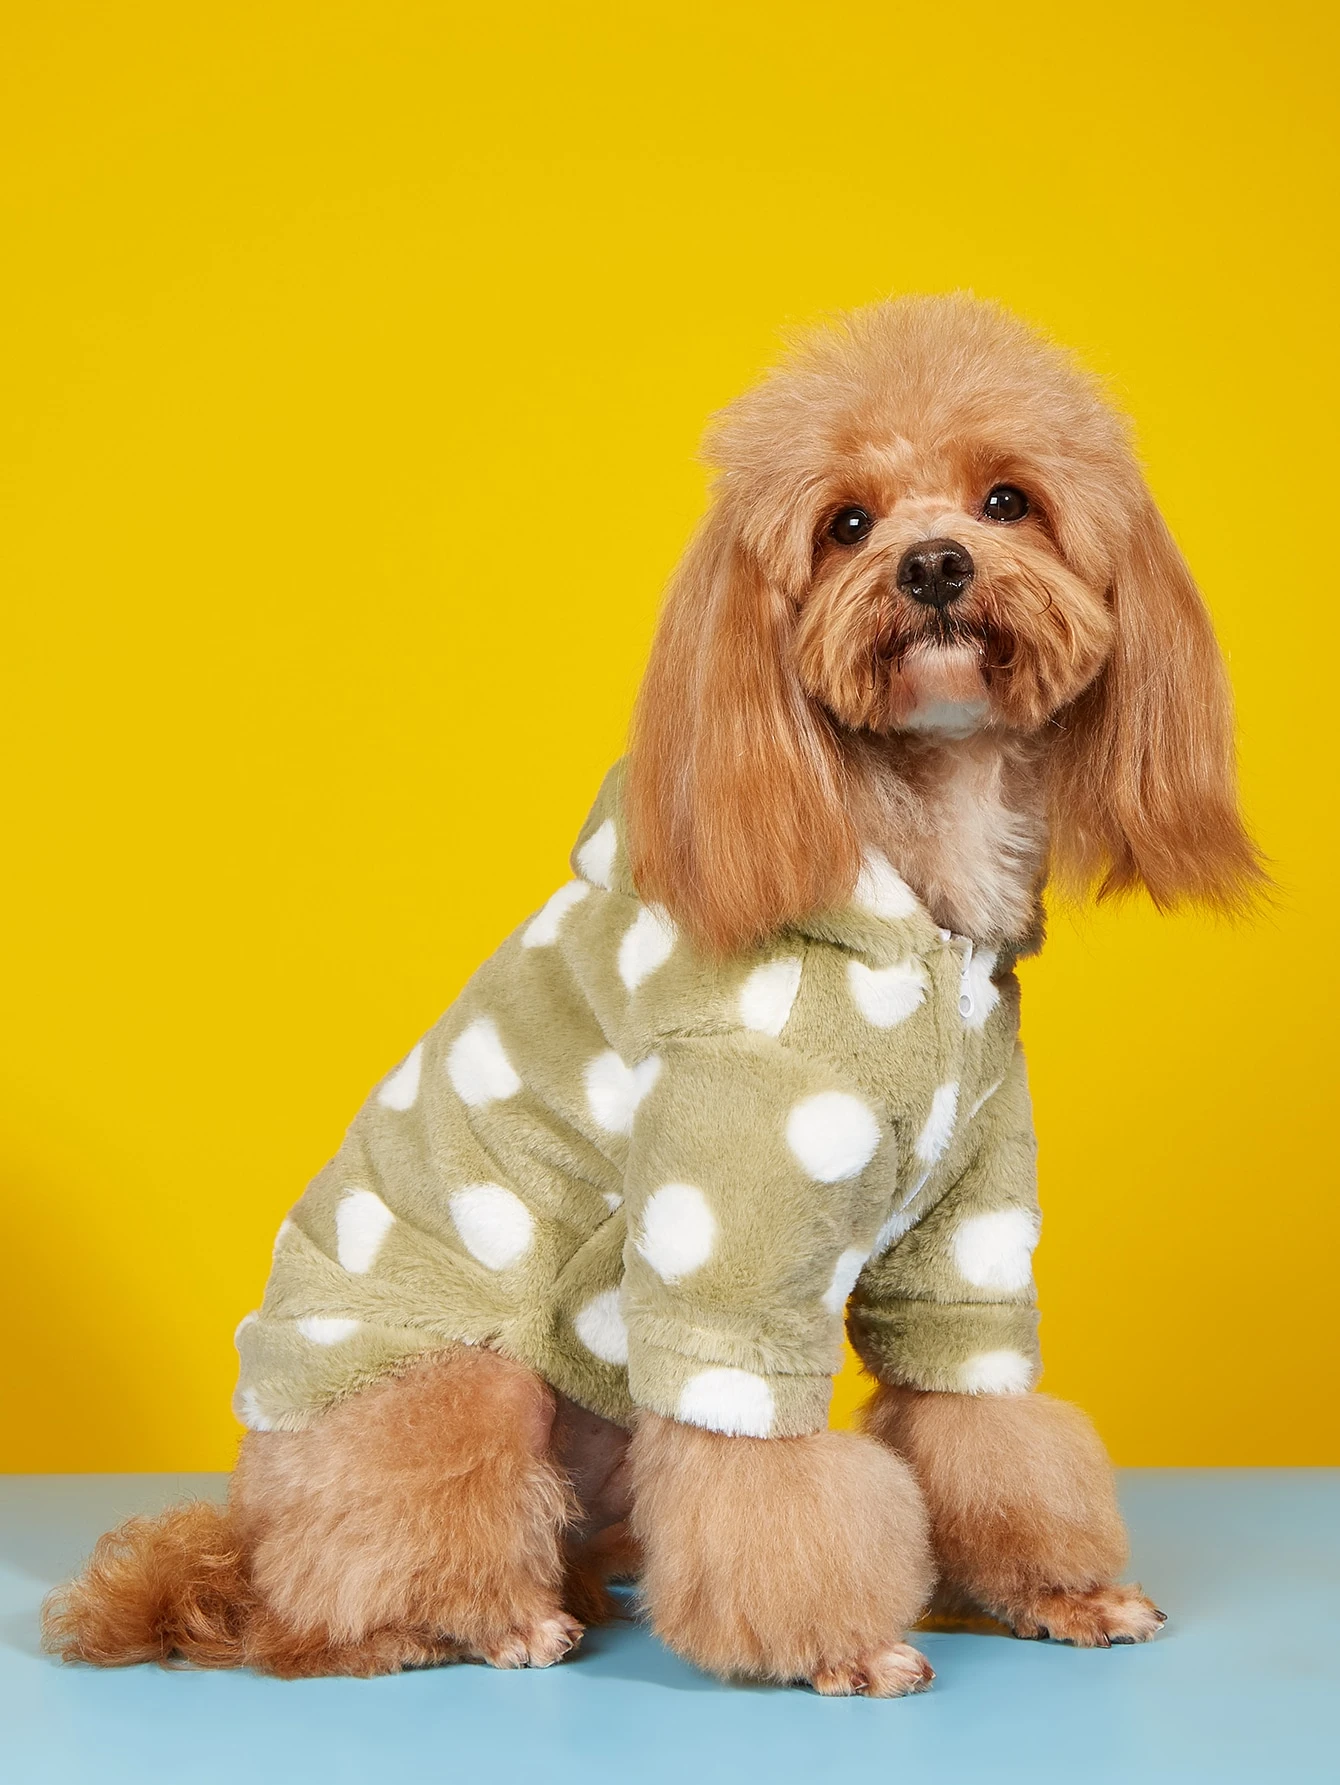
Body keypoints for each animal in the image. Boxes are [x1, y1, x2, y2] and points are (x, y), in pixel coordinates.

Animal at [44, 295, 1259, 1695]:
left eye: (1008, 499)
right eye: (845, 523)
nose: (934, 566)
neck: (916, 878)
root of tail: (237, 1538)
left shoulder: (967, 1242)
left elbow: (987, 1419)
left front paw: (1061, 1590)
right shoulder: (725, 1246)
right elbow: (763, 1478)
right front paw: (838, 1644)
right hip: (453, 1381)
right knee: (348, 1584)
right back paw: (480, 1620)